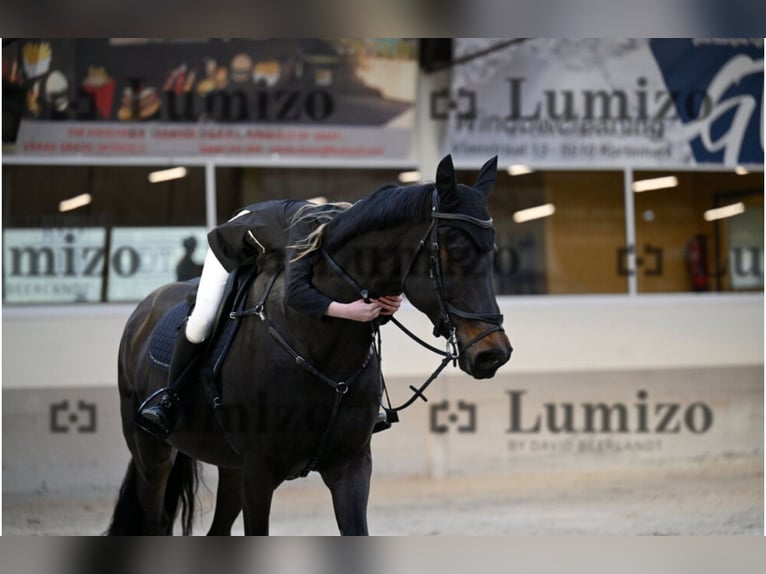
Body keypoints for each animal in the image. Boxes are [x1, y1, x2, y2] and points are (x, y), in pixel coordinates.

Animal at [107, 154, 512, 535]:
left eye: (494, 254)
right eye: (454, 250)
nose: (493, 354)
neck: (318, 347)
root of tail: (143, 309)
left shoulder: (349, 467)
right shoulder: (259, 472)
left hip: (229, 465)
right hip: (152, 451)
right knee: (154, 517)